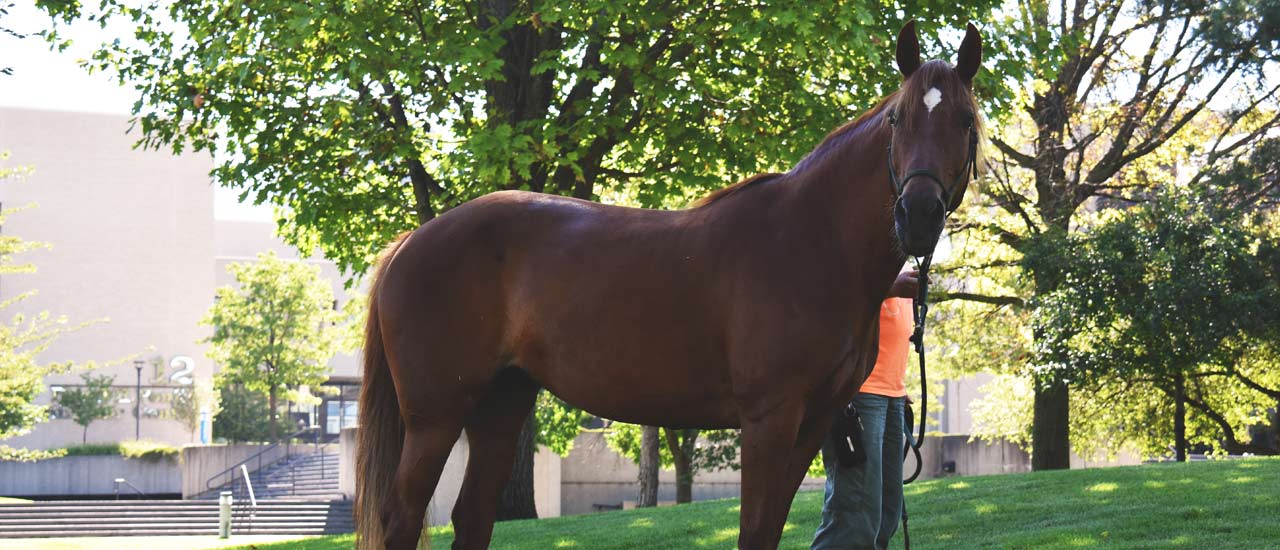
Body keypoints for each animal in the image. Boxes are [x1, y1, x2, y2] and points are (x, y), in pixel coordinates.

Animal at [355, 20, 985, 550]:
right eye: (897, 119)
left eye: (963, 121)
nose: (918, 214)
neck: (812, 241)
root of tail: (410, 242)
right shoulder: (768, 420)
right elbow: (754, 533)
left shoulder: (814, 423)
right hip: (435, 417)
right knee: (403, 516)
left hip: (500, 406)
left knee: (473, 515)